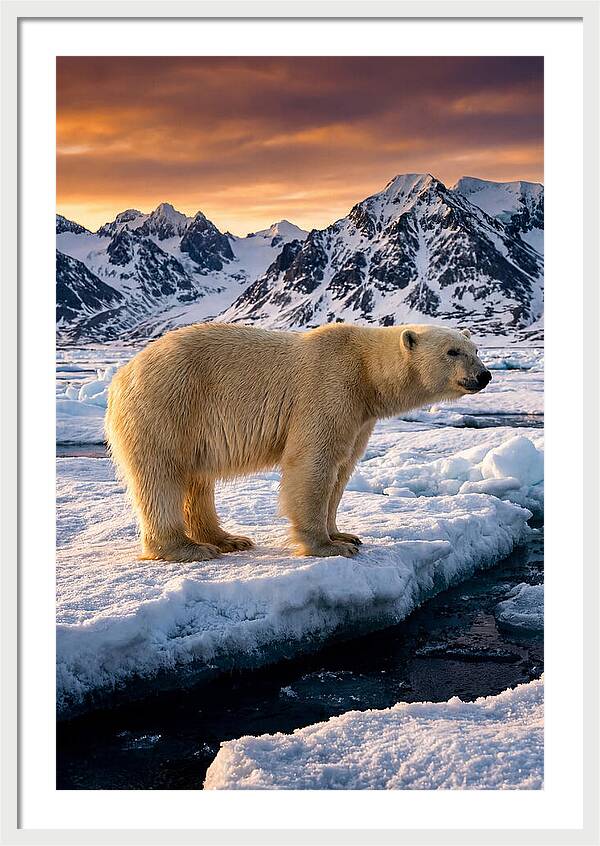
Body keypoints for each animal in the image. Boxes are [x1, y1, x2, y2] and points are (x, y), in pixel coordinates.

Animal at [105, 322, 491, 562]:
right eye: (452, 351)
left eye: (475, 349)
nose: (484, 375)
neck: (366, 371)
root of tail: (122, 374)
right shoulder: (329, 387)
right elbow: (313, 463)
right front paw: (327, 547)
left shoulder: (359, 416)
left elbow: (342, 469)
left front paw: (344, 535)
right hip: (169, 403)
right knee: (162, 474)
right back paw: (187, 548)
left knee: (197, 480)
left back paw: (227, 538)